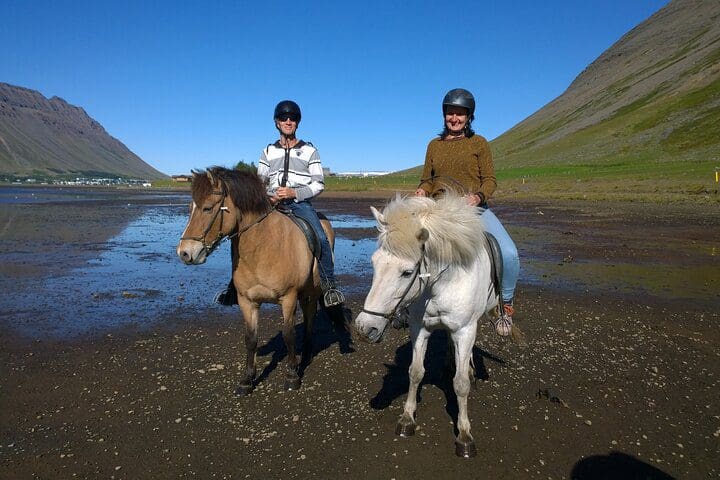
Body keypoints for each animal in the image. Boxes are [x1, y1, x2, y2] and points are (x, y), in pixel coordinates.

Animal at [177, 167, 334, 396]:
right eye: (190, 208)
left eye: (207, 208)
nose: (184, 253)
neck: (263, 246)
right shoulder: (247, 301)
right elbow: (250, 339)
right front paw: (247, 380)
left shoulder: (288, 297)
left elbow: (288, 335)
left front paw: (292, 376)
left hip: (311, 291)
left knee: (310, 316)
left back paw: (305, 354)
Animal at [352, 195, 516, 458]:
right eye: (374, 263)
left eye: (407, 272)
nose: (364, 328)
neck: (441, 285)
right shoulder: (420, 328)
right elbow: (415, 372)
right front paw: (407, 419)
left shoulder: (465, 330)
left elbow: (461, 384)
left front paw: (464, 436)